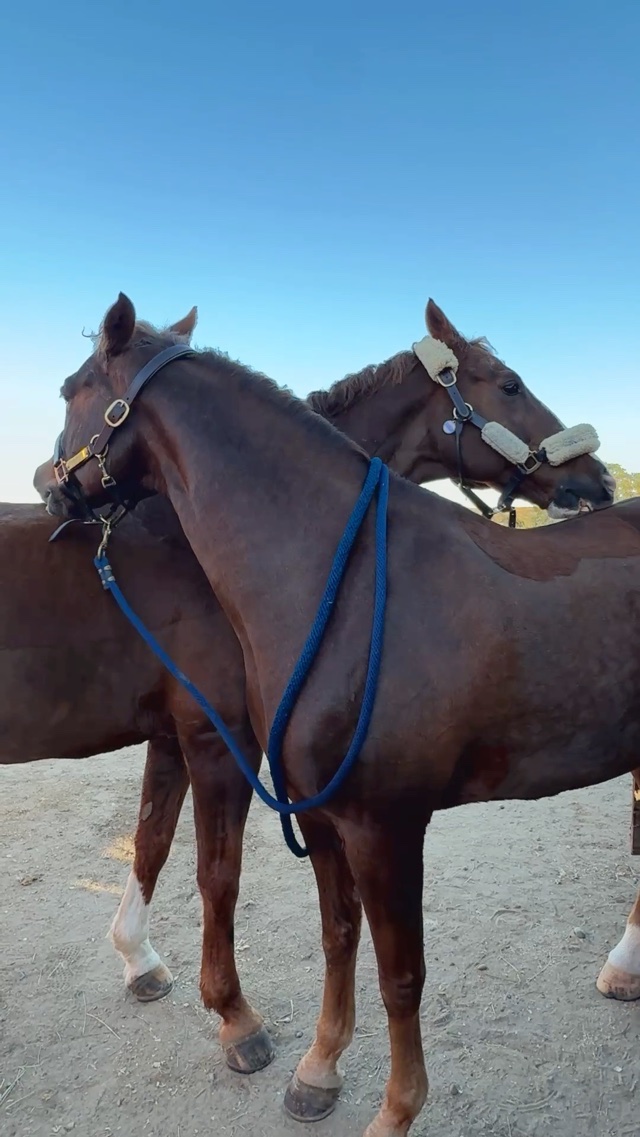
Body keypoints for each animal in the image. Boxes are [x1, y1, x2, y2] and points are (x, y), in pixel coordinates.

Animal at [37, 293, 639, 1137]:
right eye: (510, 383)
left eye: (70, 389)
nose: (48, 482)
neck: (343, 582)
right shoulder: (321, 814)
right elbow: (336, 937)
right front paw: (317, 1070)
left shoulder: (385, 824)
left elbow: (401, 975)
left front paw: (393, 1111)